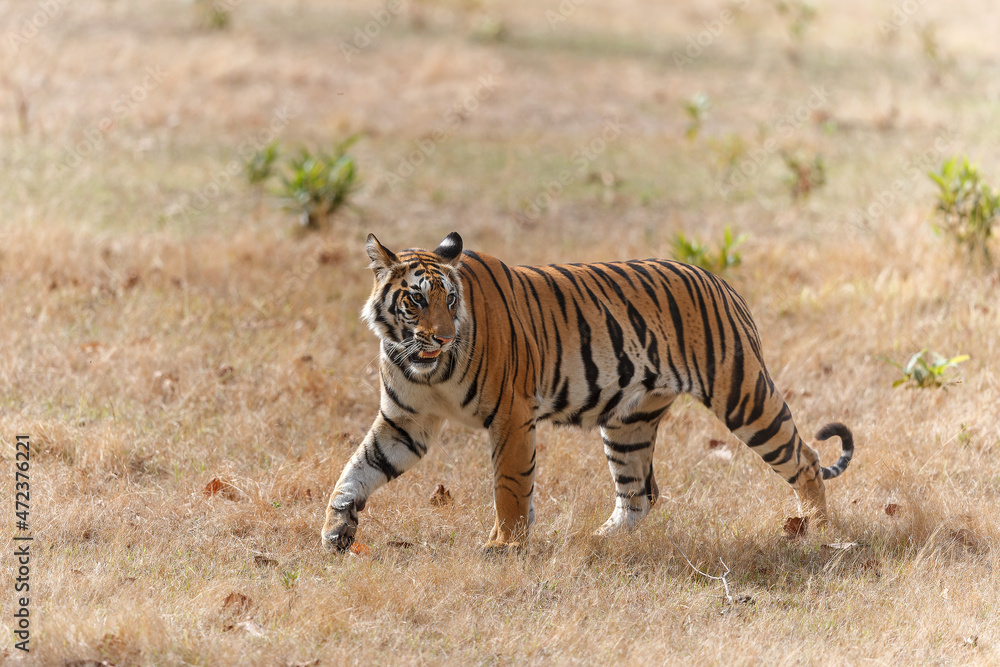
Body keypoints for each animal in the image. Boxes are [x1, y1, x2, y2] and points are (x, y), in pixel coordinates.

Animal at [322, 232, 854, 552]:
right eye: (415, 300)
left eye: (450, 300)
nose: (446, 337)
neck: (426, 368)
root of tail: (721, 282)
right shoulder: (405, 423)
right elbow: (358, 470)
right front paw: (335, 531)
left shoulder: (511, 415)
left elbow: (509, 486)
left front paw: (504, 547)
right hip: (628, 424)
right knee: (640, 495)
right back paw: (600, 541)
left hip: (743, 395)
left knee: (806, 459)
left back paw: (820, 535)